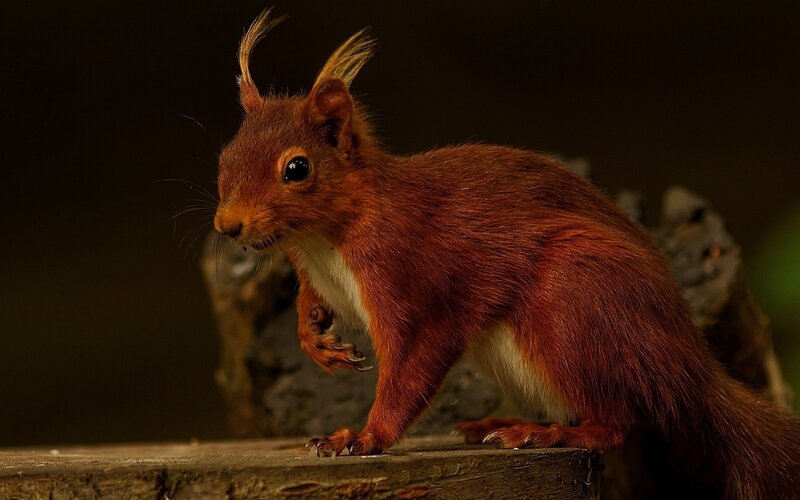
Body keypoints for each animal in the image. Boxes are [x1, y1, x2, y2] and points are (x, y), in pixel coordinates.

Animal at [213, 10, 800, 498]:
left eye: (297, 168)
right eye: (225, 155)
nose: (227, 225)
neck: (324, 241)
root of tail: (693, 370)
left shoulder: (415, 277)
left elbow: (412, 367)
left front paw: (363, 437)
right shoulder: (315, 270)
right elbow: (310, 304)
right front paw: (316, 340)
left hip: (576, 300)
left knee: (619, 420)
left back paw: (543, 433)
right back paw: (502, 425)